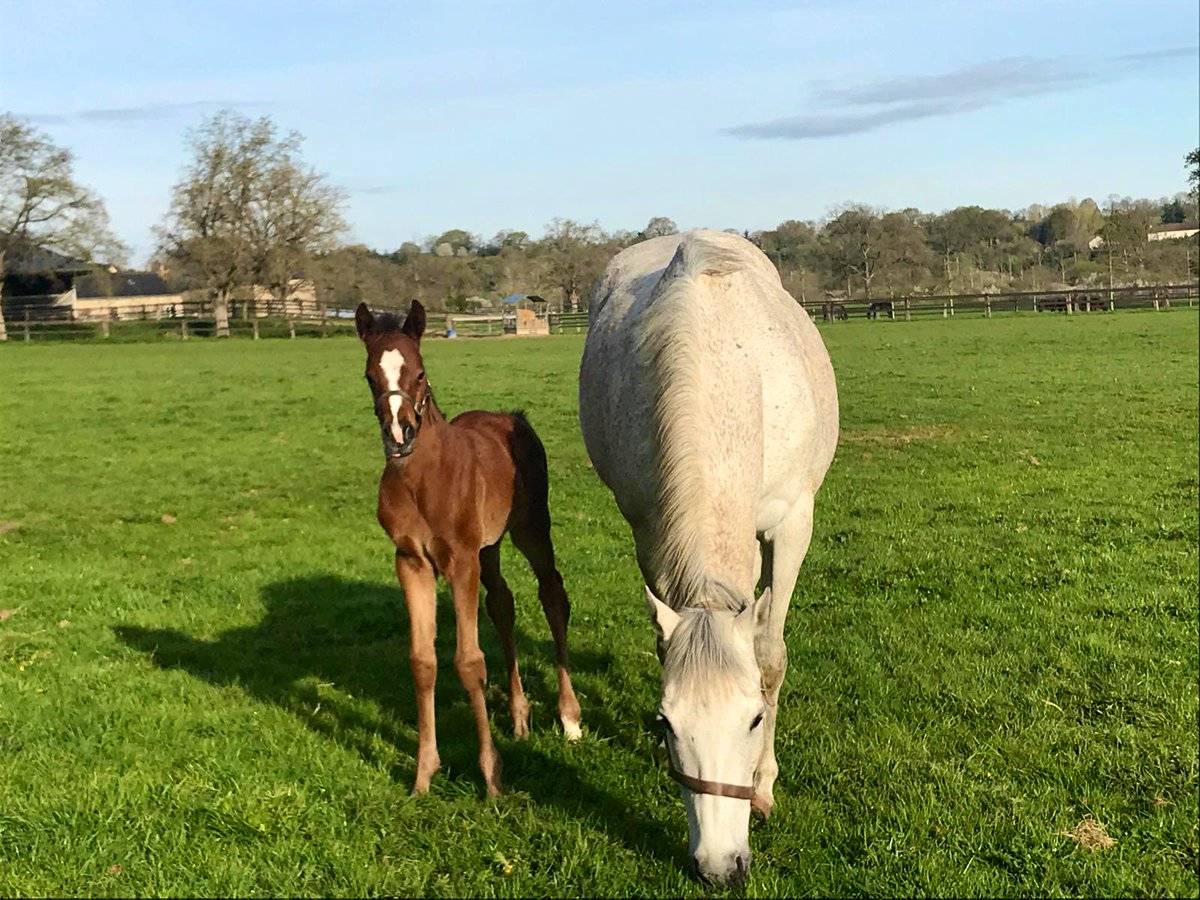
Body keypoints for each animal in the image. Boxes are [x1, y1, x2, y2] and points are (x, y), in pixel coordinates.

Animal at [355, 300, 582, 798]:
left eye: (420, 372)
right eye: (370, 375)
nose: (399, 434)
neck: (422, 480)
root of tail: (513, 416)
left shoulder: (460, 561)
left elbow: (469, 662)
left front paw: (492, 776)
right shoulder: (412, 562)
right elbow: (423, 662)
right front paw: (423, 774)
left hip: (531, 530)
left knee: (553, 596)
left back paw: (570, 718)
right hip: (489, 549)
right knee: (503, 604)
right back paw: (519, 718)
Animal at [578, 230, 838, 886]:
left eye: (752, 720)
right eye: (669, 722)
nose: (719, 867)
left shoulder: (792, 525)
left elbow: (769, 655)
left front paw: (764, 784)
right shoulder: (648, 534)